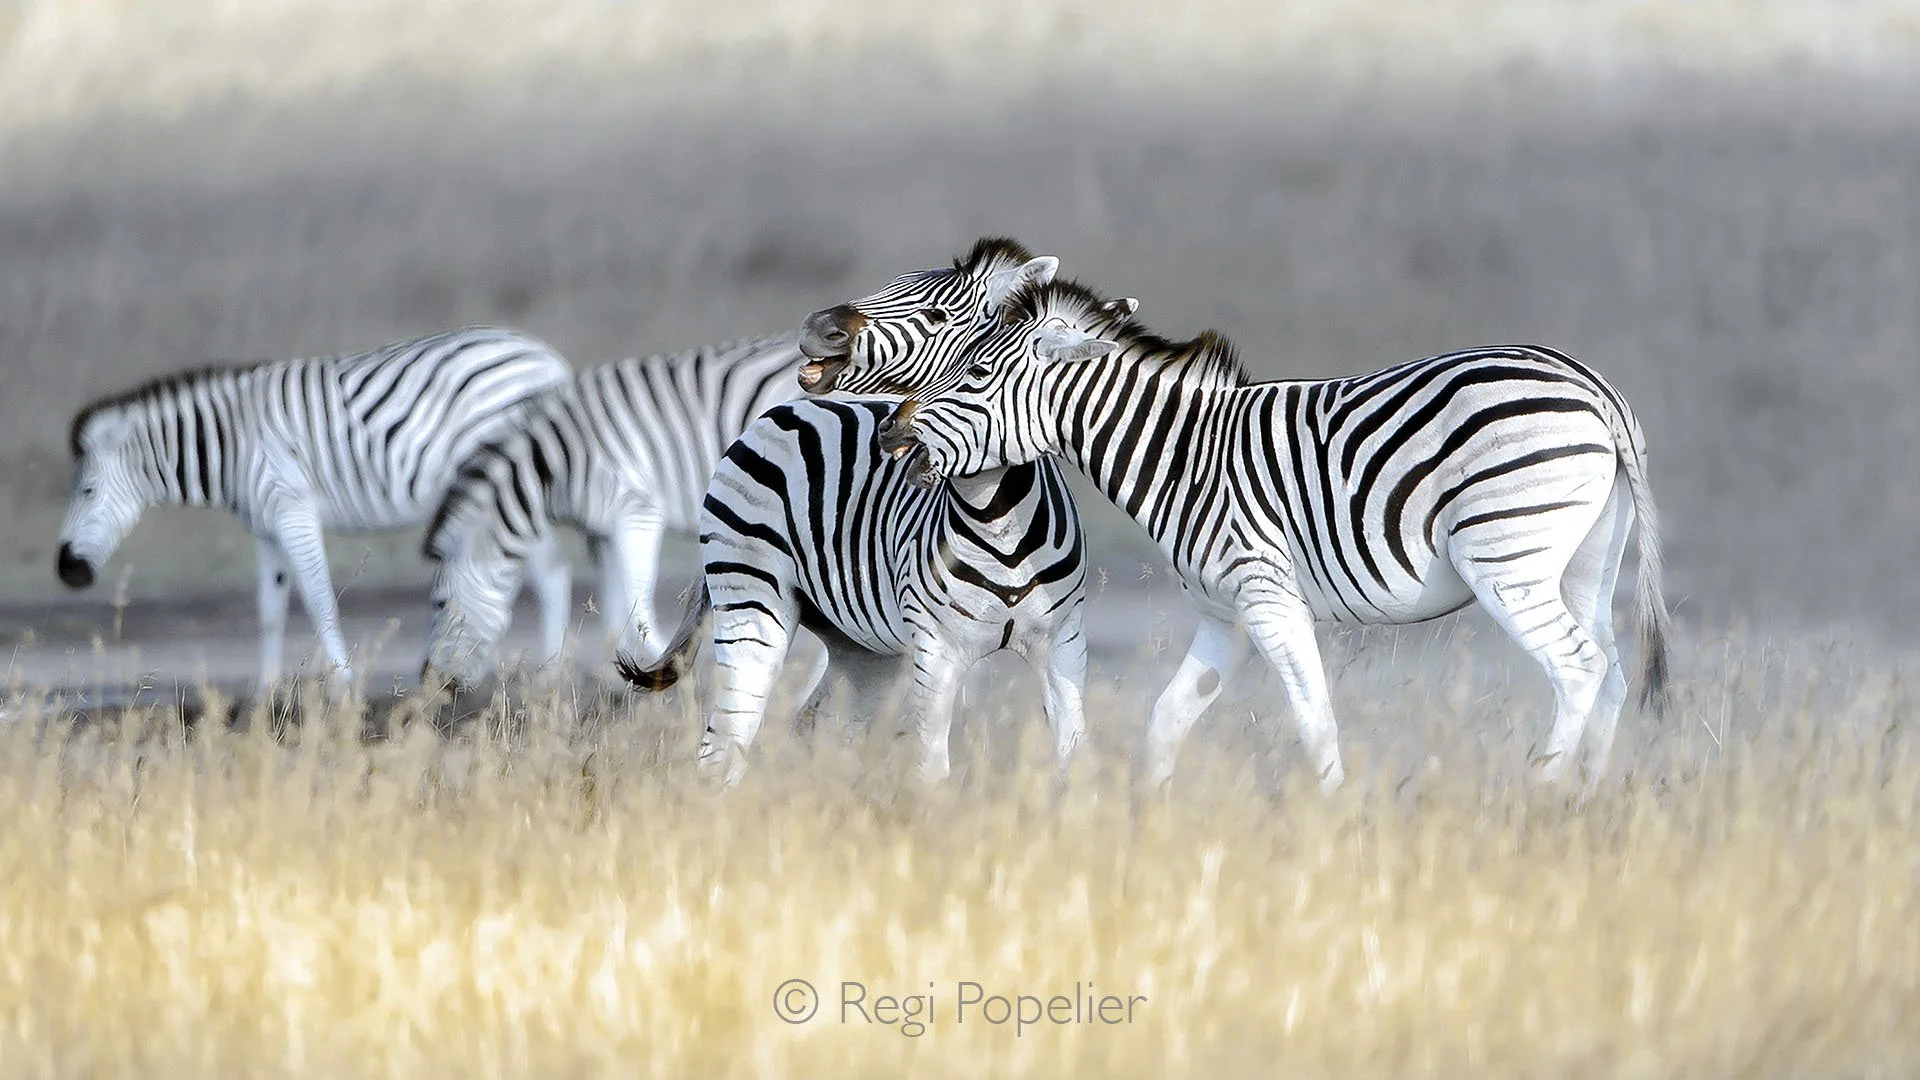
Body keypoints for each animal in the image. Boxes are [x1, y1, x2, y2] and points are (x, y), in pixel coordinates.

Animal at [58, 325, 573, 690]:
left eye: (86, 491)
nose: (67, 570)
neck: (233, 444)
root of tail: (547, 359)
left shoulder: (293, 512)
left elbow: (319, 596)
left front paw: (343, 682)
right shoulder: (266, 527)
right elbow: (270, 607)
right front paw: (265, 693)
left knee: (550, 575)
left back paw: (548, 676)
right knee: (548, 574)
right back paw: (546, 672)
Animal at [420, 334, 811, 687]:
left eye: (439, 603)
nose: (430, 679)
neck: (558, 462)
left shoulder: (638, 511)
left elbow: (638, 600)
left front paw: (669, 669)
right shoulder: (602, 530)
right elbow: (615, 604)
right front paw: (616, 675)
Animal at [879, 277, 1673, 796]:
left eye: (975, 373)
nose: (889, 431)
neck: (1182, 455)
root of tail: (1593, 385)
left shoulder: (1265, 596)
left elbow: (1314, 718)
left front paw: (1334, 826)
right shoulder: (1222, 616)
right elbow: (1166, 719)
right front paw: (1145, 824)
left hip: (1506, 558)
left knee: (1577, 665)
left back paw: (1541, 790)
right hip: (1587, 563)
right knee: (1611, 669)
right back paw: (1582, 801)